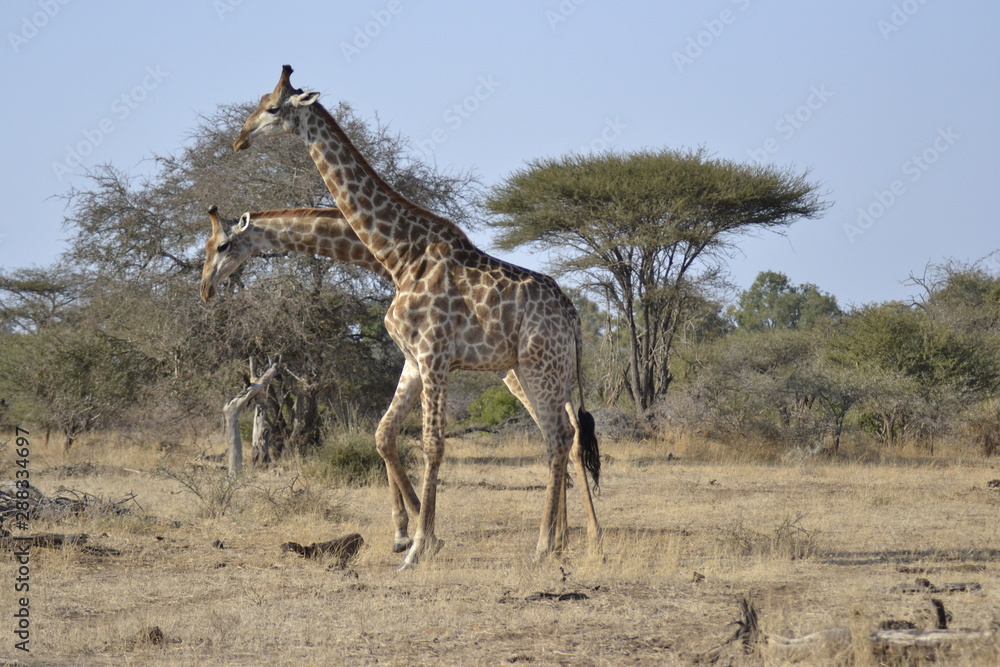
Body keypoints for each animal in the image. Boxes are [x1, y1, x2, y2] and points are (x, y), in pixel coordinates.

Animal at [232, 66, 600, 568]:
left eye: (272, 107)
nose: (239, 139)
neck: (400, 254)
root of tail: (572, 315)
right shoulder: (412, 358)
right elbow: (389, 433)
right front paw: (411, 537)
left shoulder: (434, 355)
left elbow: (432, 443)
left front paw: (419, 545)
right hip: (539, 369)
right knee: (559, 437)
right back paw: (558, 542)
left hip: (540, 366)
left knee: (560, 437)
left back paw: (545, 545)